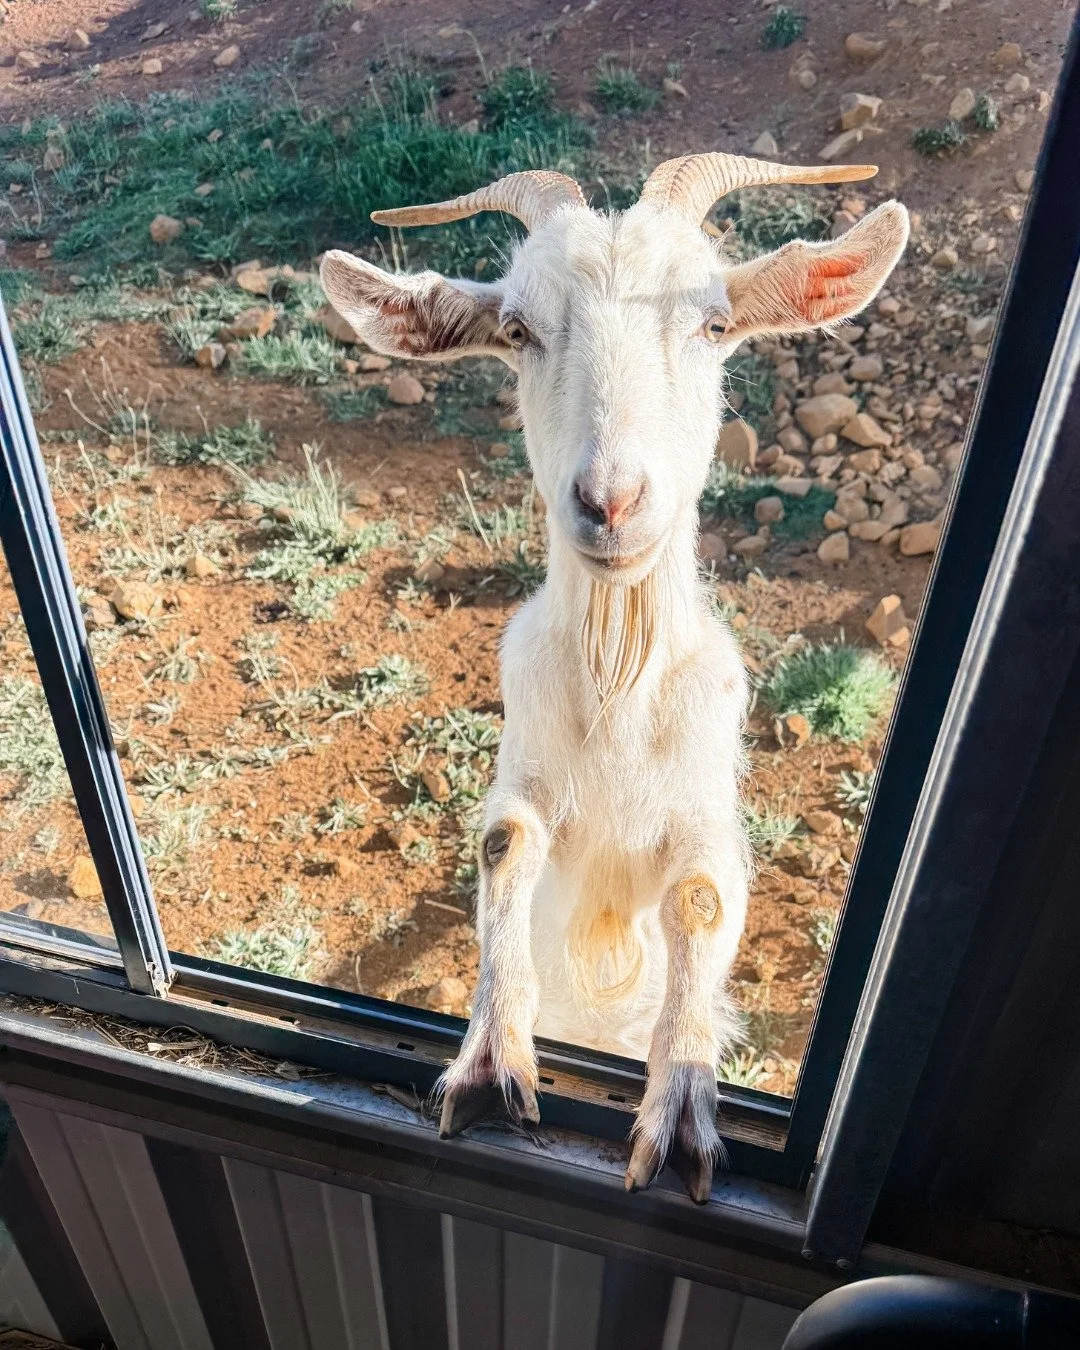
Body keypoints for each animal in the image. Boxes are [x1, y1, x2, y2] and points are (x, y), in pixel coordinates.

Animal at [321, 154, 909, 1201]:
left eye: (713, 322)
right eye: (517, 329)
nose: (611, 501)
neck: (619, 684)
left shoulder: (709, 804)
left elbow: (700, 897)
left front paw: (680, 1115)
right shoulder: (525, 764)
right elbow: (506, 844)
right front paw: (490, 1058)